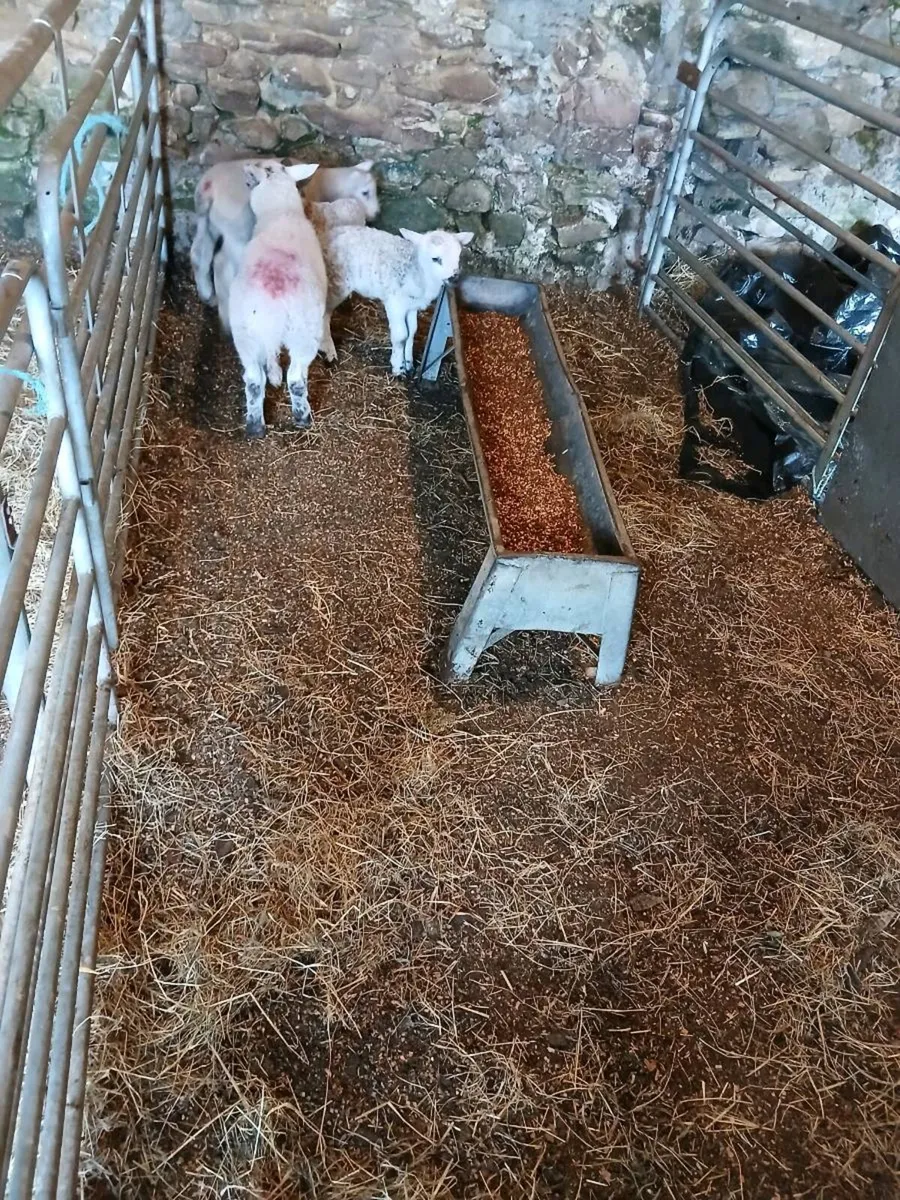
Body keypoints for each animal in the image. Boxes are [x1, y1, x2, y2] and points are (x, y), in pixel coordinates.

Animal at [190, 157, 378, 312]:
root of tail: (208, 186)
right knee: (222, 264)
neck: (323, 183)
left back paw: (207, 295)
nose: (376, 214)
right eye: (365, 192)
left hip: (208, 222)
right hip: (237, 230)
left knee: (199, 254)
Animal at [228, 162, 328, 438]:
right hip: (305, 332)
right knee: (296, 378)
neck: (280, 213)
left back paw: (254, 426)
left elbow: (270, 355)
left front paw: (273, 375)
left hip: (244, 333)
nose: (244, 167)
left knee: (253, 379)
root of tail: (272, 298)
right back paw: (302, 417)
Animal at [320, 226, 474, 376]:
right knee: (324, 314)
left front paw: (409, 363)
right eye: (435, 259)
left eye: (458, 256)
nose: (454, 277)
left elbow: (412, 332)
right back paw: (329, 350)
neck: (417, 271)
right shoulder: (395, 303)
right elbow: (401, 336)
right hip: (336, 282)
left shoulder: (412, 305)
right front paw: (398, 367)